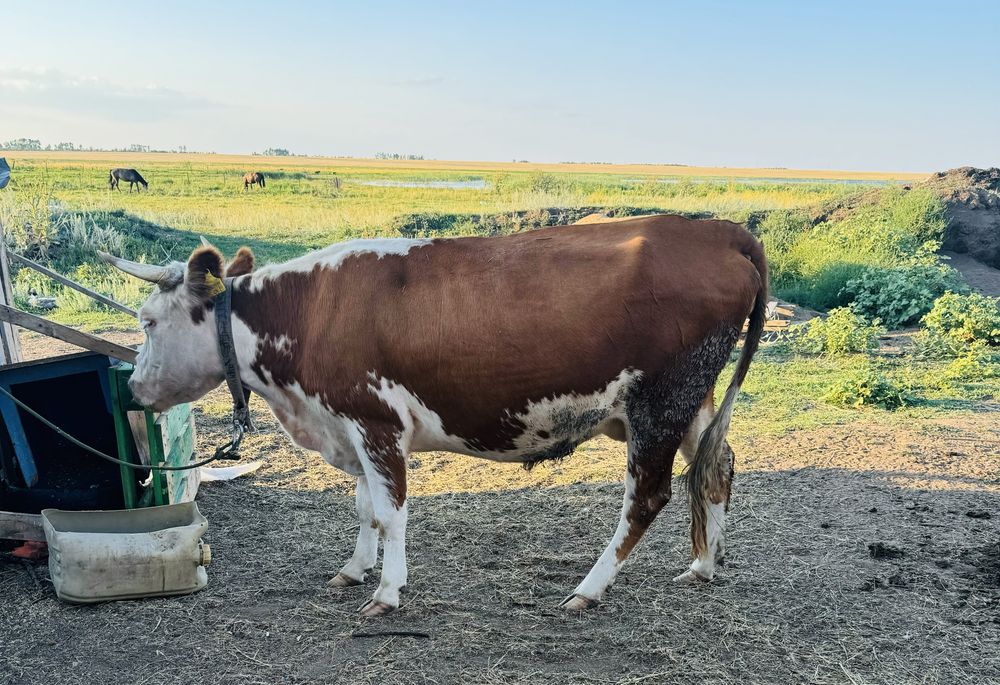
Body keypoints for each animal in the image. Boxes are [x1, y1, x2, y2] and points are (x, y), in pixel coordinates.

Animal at [100, 214, 767, 616]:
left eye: (148, 321)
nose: (131, 387)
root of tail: (716, 230)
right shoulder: (350, 426)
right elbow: (366, 507)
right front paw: (355, 569)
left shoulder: (376, 422)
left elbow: (391, 511)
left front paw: (387, 591)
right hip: (691, 404)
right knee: (716, 466)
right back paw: (703, 565)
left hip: (659, 403)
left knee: (648, 496)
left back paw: (588, 588)